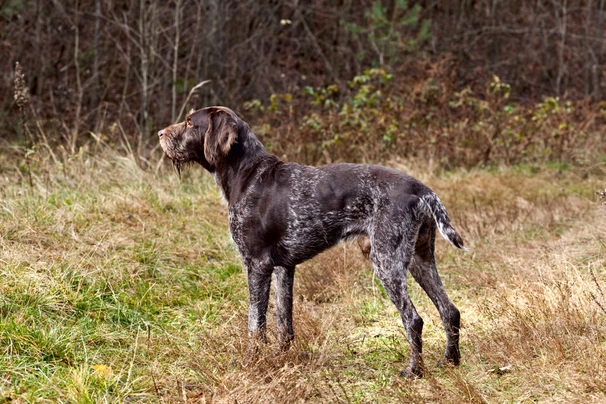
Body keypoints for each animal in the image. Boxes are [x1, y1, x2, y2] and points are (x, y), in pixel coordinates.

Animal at [159, 105, 468, 378]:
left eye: (190, 122)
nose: (160, 134)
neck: (247, 175)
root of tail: (421, 188)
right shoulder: (283, 268)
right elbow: (284, 322)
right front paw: (281, 358)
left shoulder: (257, 265)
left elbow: (255, 324)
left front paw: (250, 362)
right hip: (419, 259)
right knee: (450, 310)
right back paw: (450, 361)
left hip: (386, 262)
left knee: (413, 318)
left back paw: (414, 371)